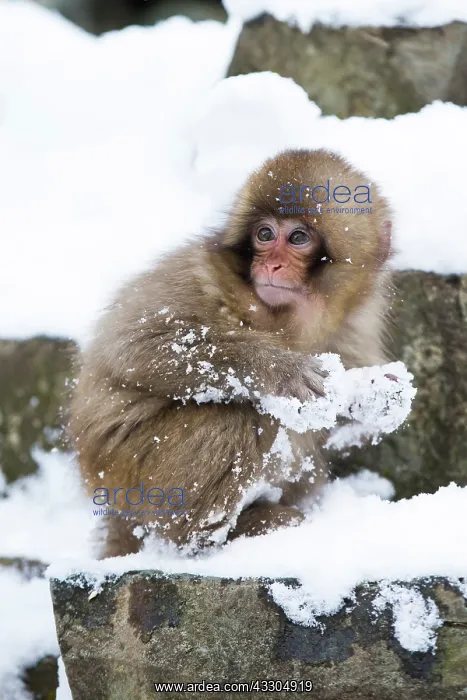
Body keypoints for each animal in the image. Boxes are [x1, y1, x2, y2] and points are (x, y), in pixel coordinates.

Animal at [69, 148, 393, 558]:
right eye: (264, 234)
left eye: (298, 237)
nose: (269, 264)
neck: (289, 323)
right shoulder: (203, 273)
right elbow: (136, 343)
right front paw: (281, 371)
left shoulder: (353, 325)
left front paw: (380, 396)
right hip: (124, 474)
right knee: (233, 419)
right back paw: (214, 538)